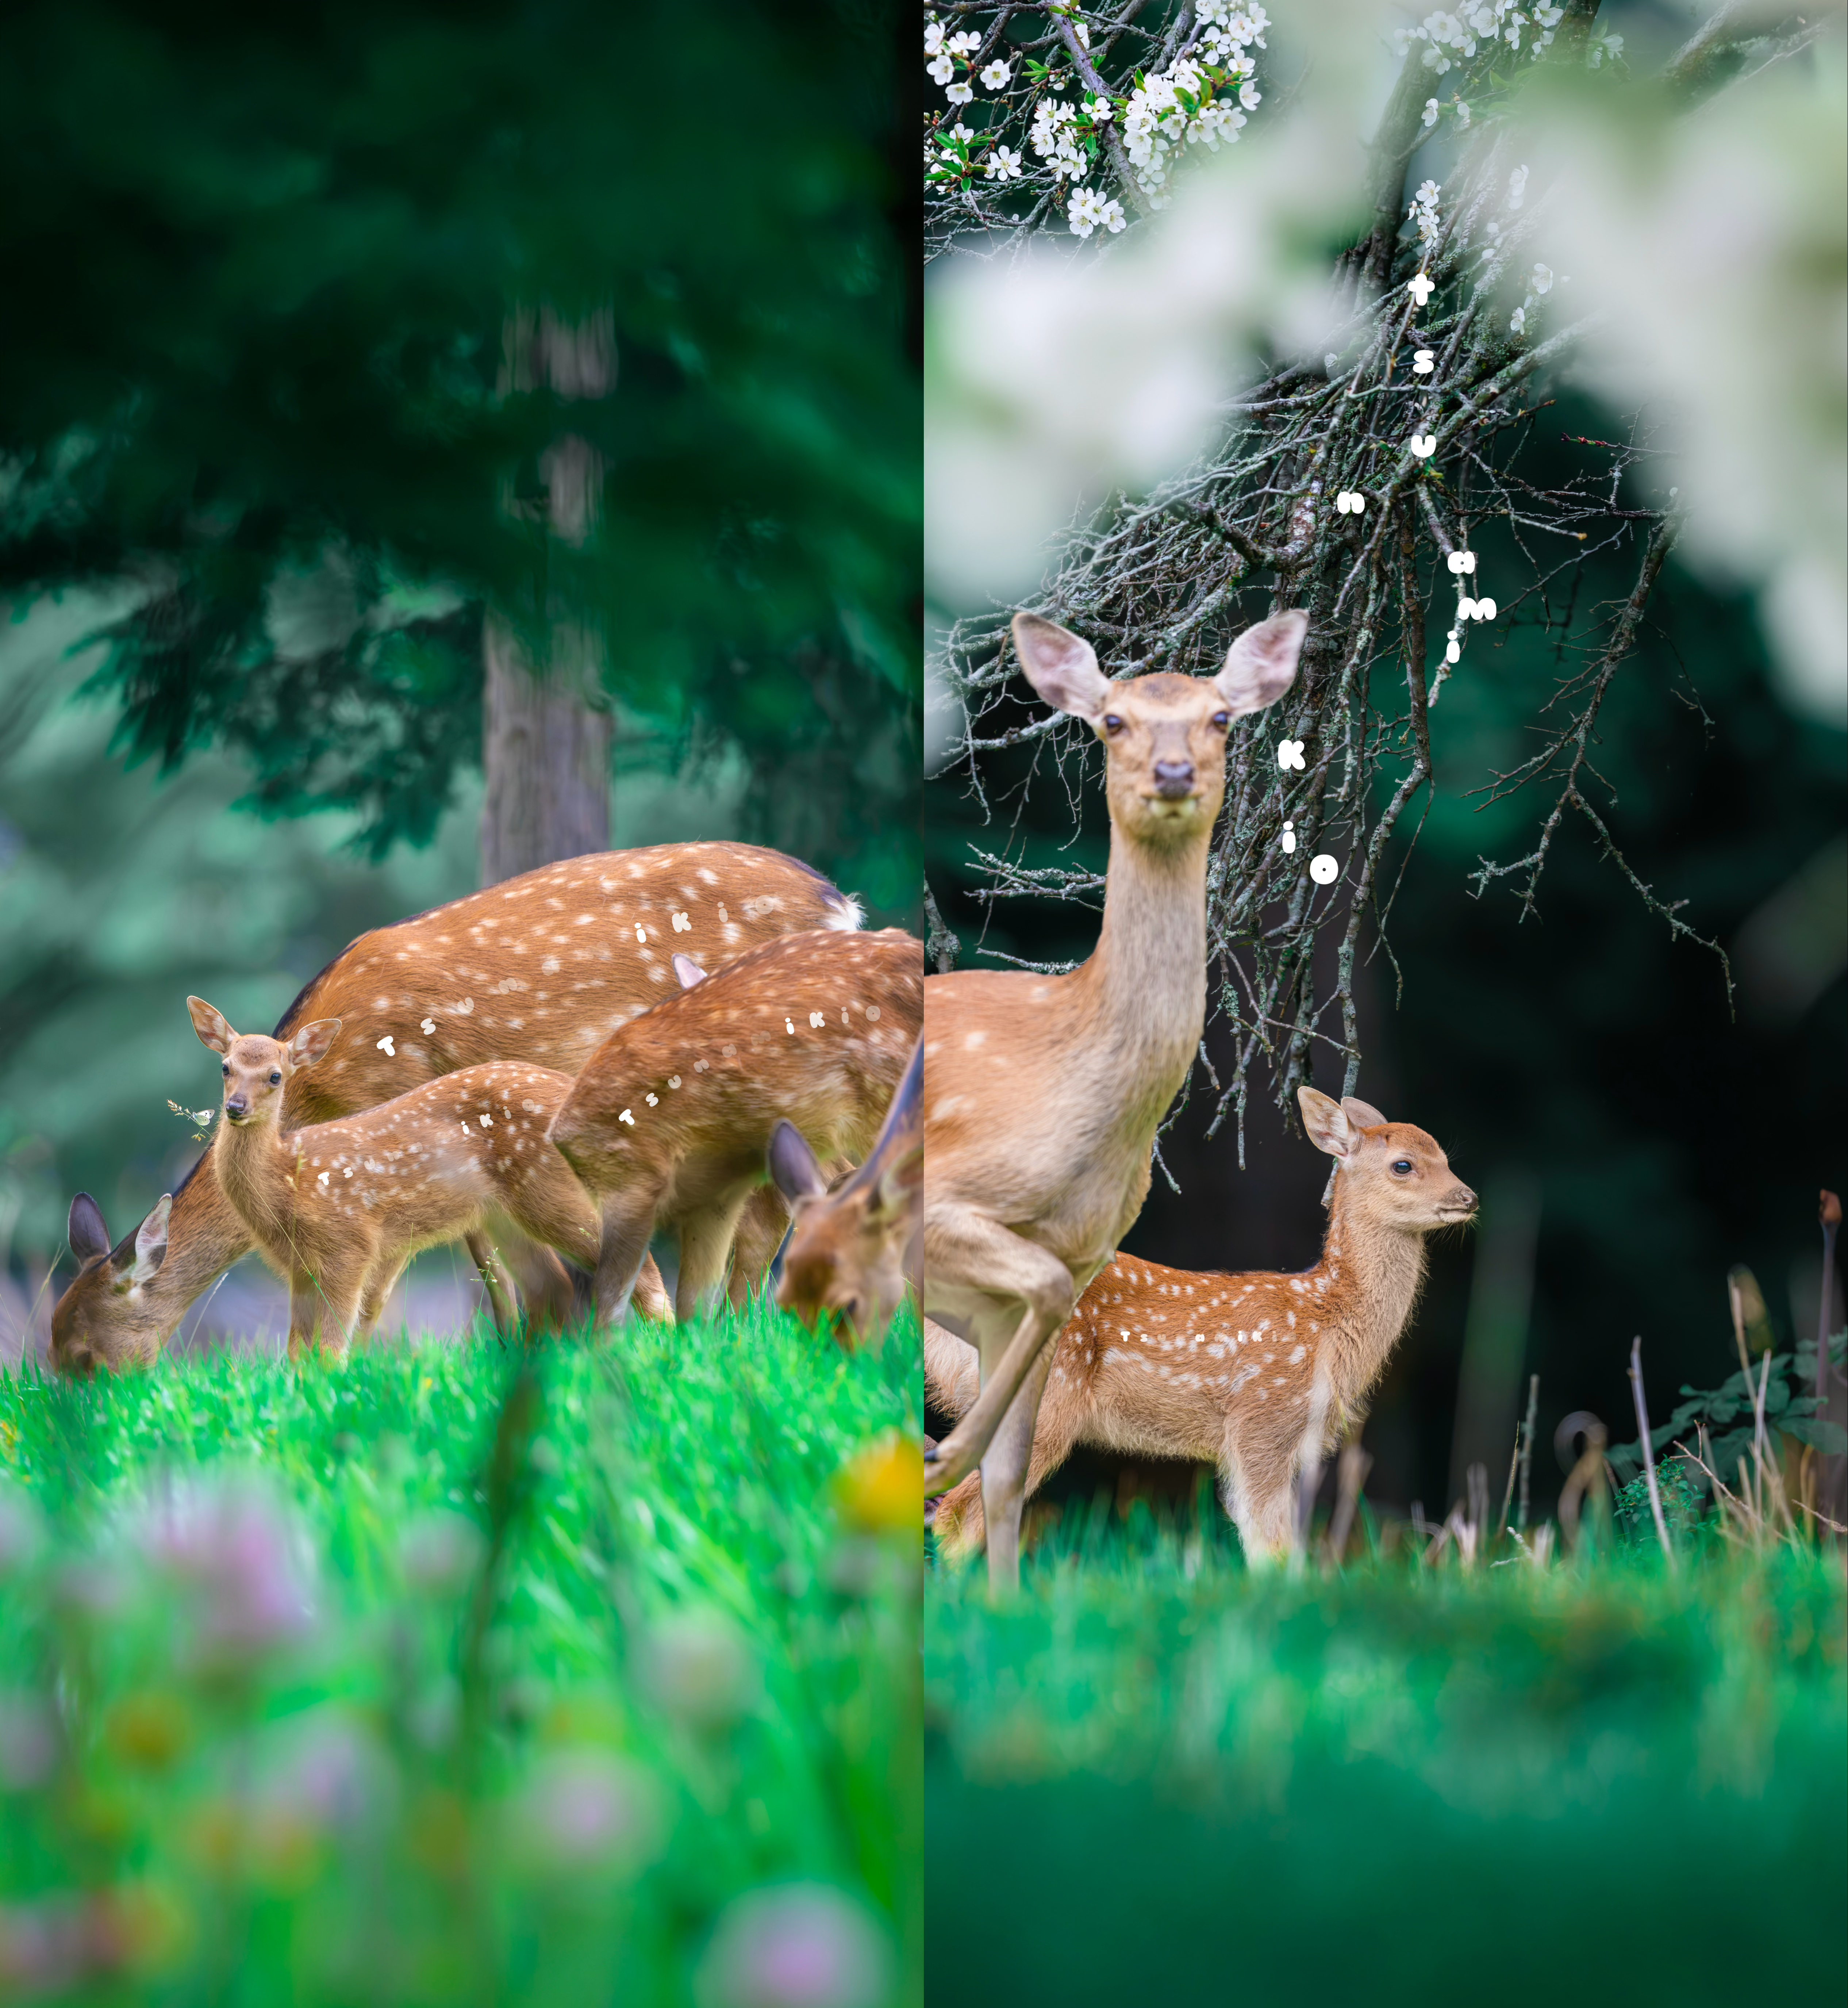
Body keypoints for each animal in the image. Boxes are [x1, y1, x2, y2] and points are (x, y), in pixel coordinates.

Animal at [184, 997, 643, 1359]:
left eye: (275, 1076)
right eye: (226, 1067)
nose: (236, 1107)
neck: (288, 1180)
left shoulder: (349, 1248)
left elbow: (331, 1352)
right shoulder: (301, 1268)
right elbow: (297, 1354)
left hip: (551, 1190)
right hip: (507, 1216)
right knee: (553, 1287)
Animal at [922, 607, 1306, 1592]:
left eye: (1219, 718)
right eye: (1113, 721)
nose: (1171, 772)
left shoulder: (1068, 1262)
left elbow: (1010, 1472)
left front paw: (1001, 1605)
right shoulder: (950, 1202)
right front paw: (944, 1454)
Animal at [927, 1088, 1478, 1565]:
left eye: (1445, 1156)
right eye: (1402, 1164)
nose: (1468, 1197)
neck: (1326, 1320)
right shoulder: (1260, 1418)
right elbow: (1269, 1544)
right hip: (1049, 1398)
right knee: (959, 1512)